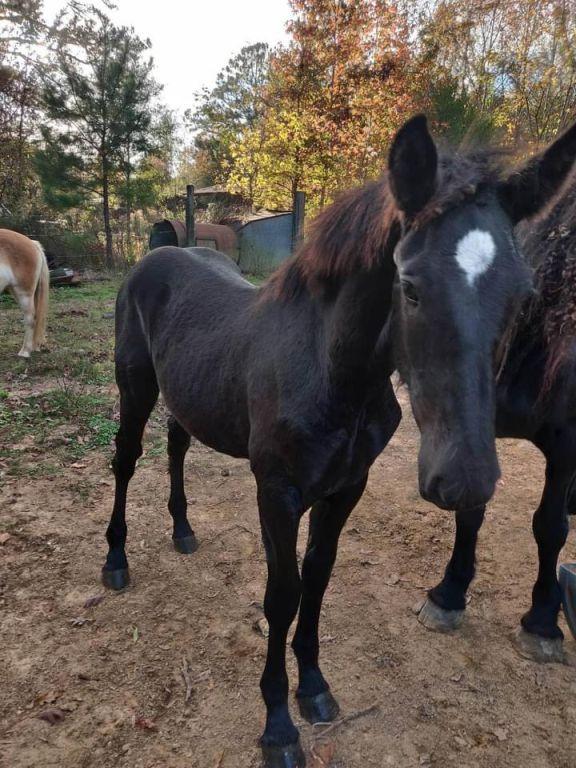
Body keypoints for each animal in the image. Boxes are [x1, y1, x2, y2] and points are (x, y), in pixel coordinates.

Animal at [416, 132, 576, 660]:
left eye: (521, 296)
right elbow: (471, 511)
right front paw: (448, 594)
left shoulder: (568, 445)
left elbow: (550, 527)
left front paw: (543, 621)